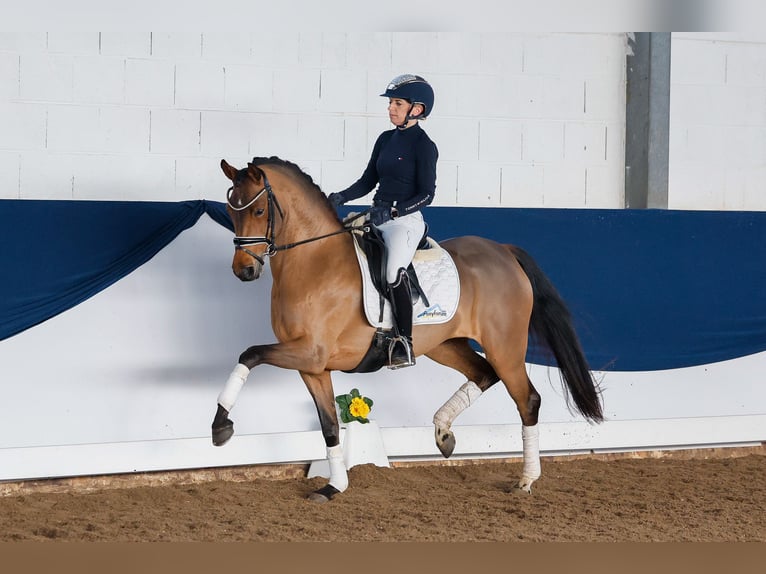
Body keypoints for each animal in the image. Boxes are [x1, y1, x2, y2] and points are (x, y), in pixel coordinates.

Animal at [212, 156, 608, 504]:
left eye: (258, 212)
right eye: (231, 212)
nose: (244, 270)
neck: (314, 262)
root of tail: (503, 251)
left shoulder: (309, 351)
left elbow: (249, 354)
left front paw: (221, 427)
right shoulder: (313, 365)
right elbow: (329, 426)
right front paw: (334, 486)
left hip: (505, 346)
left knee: (526, 399)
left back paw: (526, 480)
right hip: (445, 345)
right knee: (483, 374)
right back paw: (443, 433)